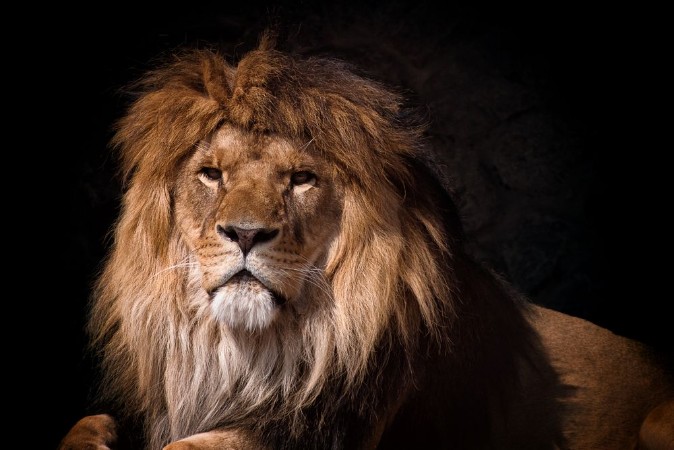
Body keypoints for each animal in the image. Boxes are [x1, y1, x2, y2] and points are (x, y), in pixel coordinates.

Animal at [60, 34, 674, 450]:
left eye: (301, 179)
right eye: (211, 174)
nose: (245, 233)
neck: (243, 351)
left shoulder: (316, 430)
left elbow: (188, 446)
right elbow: (88, 421)